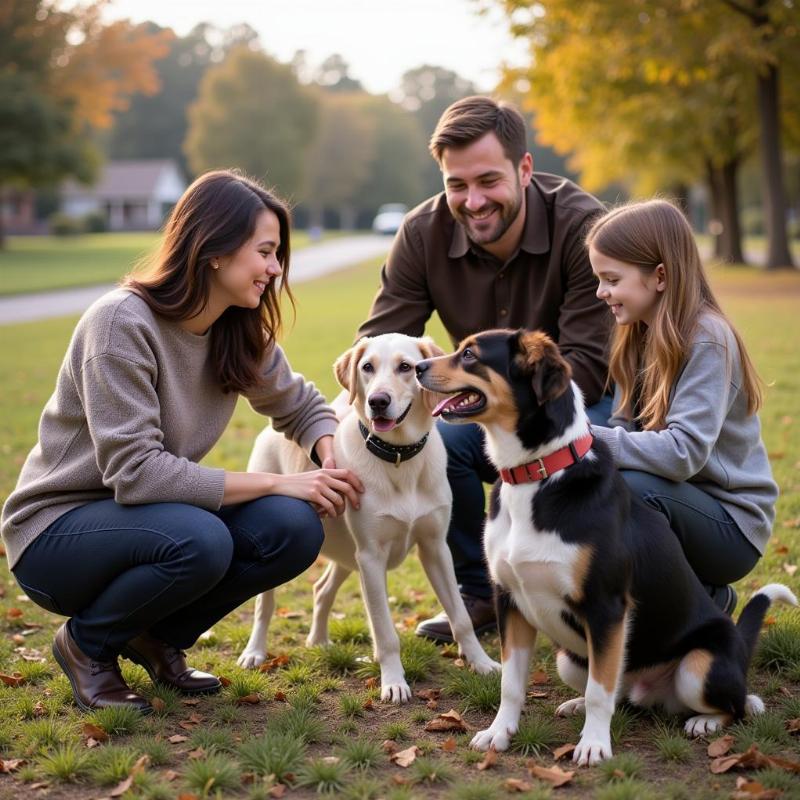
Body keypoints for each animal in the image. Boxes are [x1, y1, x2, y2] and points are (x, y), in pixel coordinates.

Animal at [238, 332, 500, 700]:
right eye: (367, 367)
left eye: (406, 367)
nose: (377, 401)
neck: (399, 458)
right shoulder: (372, 557)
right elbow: (385, 631)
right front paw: (393, 681)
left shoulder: (435, 548)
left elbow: (460, 617)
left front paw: (481, 663)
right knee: (266, 605)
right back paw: (255, 652)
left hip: (349, 555)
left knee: (322, 589)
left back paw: (319, 642)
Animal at [416, 328, 796, 764]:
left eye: (470, 355)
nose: (417, 367)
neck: (538, 475)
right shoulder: (509, 601)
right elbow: (512, 685)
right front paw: (499, 733)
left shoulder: (606, 607)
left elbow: (601, 691)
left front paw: (594, 745)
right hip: (569, 660)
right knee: (617, 692)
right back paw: (578, 703)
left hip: (699, 666)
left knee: (738, 704)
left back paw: (706, 722)